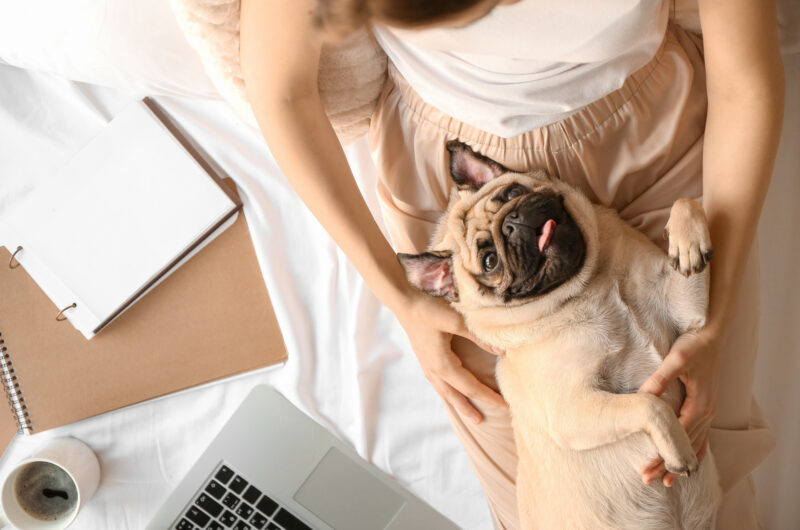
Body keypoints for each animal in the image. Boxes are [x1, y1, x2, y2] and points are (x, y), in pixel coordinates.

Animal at [396, 141, 720, 528]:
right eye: (489, 262)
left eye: (512, 193)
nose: (512, 224)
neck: (590, 284)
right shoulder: (572, 408)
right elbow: (648, 404)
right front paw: (678, 448)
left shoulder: (685, 313)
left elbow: (685, 202)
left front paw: (687, 240)